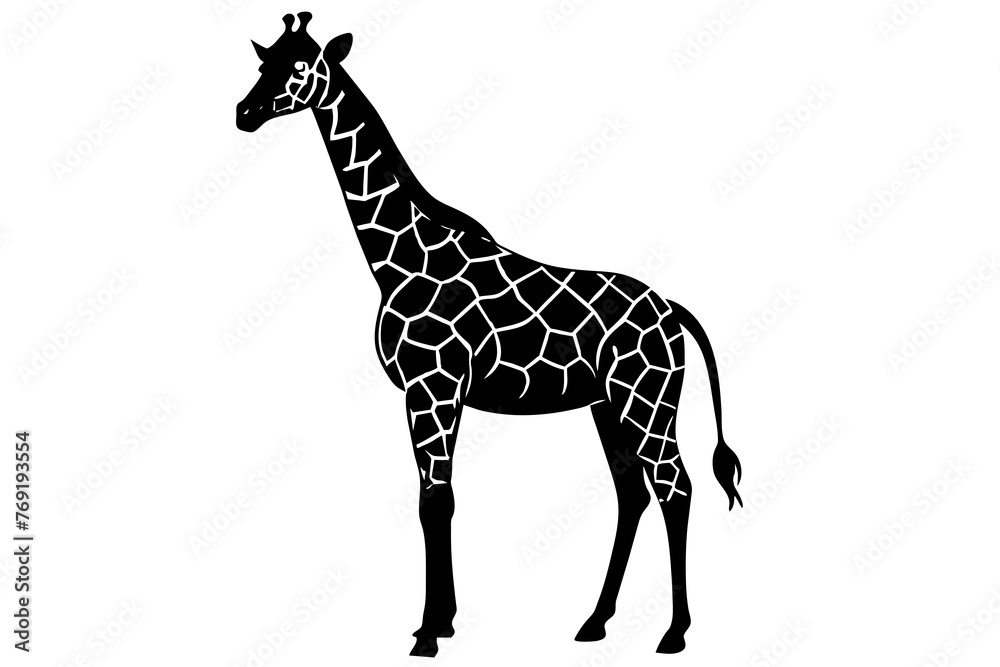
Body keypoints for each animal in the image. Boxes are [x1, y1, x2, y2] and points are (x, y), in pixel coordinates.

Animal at [236, 13, 744, 658]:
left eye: (301, 66)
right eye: (263, 62)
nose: (244, 113)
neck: (399, 258)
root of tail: (672, 309)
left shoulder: (433, 387)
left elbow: (435, 500)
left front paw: (430, 632)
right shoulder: (430, 393)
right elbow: (437, 500)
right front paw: (440, 622)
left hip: (647, 400)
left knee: (673, 488)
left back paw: (674, 633)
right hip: (609, 404)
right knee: (632, 491)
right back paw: (595, 621)